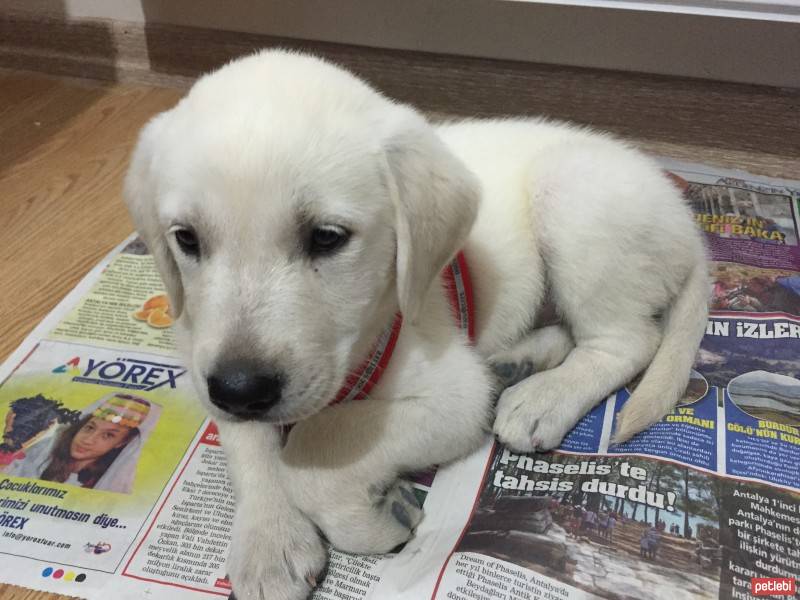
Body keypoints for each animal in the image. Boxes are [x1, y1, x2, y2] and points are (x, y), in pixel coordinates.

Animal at [122, 49, 708, 596]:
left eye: (327, 237)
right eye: (187, 239)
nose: (242, 389)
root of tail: (686, 220)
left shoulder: (455, 396)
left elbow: (313, 448)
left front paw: (377, 514)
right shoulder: (204, 354)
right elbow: (249, 443)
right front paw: (268, 540)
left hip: (574, 199)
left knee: (628, 340)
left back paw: (543, 398)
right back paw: (519, 363)